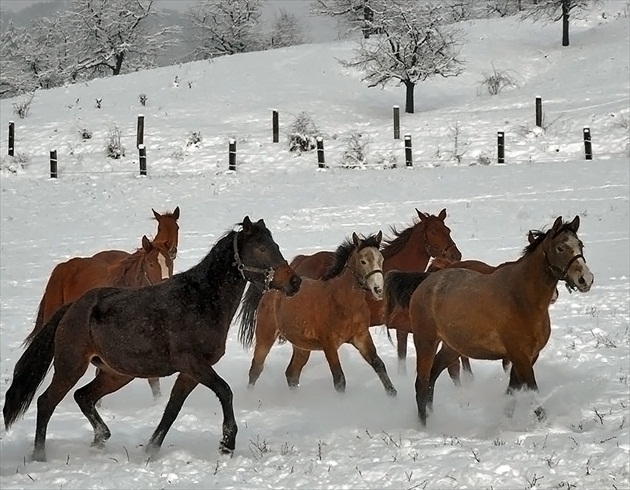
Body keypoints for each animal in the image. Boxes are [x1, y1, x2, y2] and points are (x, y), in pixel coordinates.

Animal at [239, 232, 398, 396]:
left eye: (381, 260)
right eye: (363, 261)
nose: (378, 290)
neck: (343, 301)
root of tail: (271, 290)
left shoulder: (361, 337)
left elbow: (379, 365)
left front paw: (393, 395)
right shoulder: (329, 344)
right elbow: (339, 380)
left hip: (301, 346)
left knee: (292, 373)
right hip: (265, 337)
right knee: (256, 369)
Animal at [410, 216, 592, 426]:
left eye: (580, 245)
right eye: (560, 248)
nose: (585, 279)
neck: (521, 299)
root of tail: (425, 284)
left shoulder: (528, 356)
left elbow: (512, 391)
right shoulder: (520, 356)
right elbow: (533, 391)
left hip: (452, 348)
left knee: (433, 377)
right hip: (426, 342)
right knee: (422, 383)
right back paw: (424, 425)